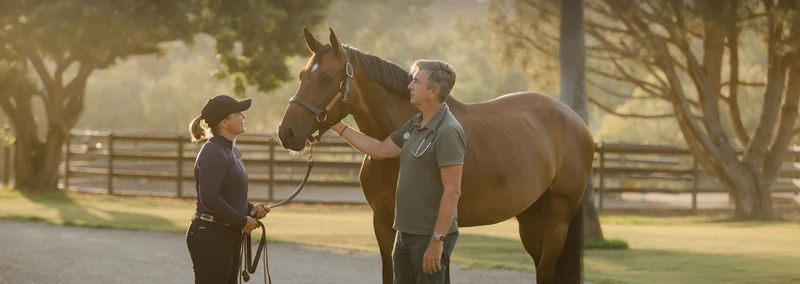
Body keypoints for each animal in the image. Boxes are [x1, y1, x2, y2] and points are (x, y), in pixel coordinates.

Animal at [276, 28, 592, 284]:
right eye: (302, 76)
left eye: (327, 78)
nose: (286, 132)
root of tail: (576, 121)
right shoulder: (384, 223)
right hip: (530, 217)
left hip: (557, 219)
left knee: (546, 271)